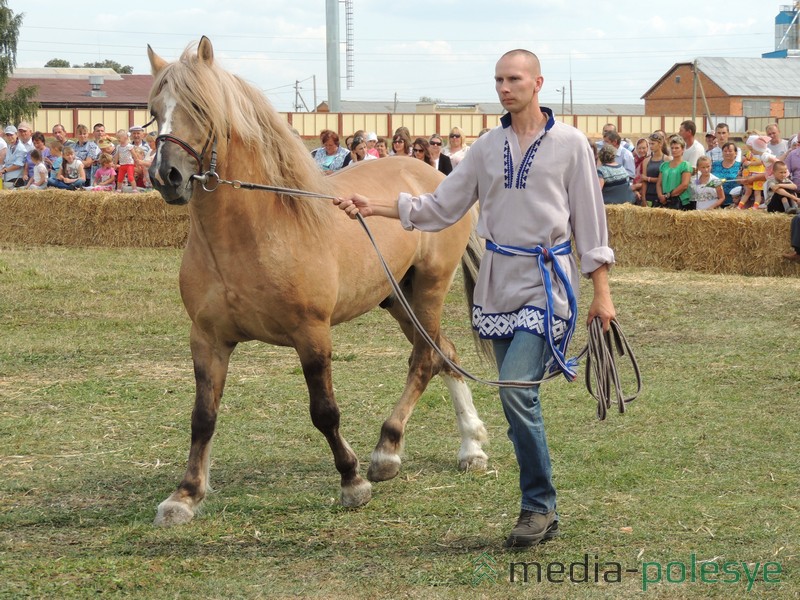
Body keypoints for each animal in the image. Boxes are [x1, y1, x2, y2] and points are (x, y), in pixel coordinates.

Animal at [148, 37, 490, 524]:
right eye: (154, 110)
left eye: (200, 106)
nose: (167, 176)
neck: (254, 233)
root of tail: (435, 176)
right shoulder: (207, 339)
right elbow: (203, 416)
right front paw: (185, 495)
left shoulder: (311, 334)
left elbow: (324, 412)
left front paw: (352, 480)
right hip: (397, 298)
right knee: (446, 353)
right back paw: (470, 445)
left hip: (428, 289)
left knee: (426, 360)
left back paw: (388, 451)